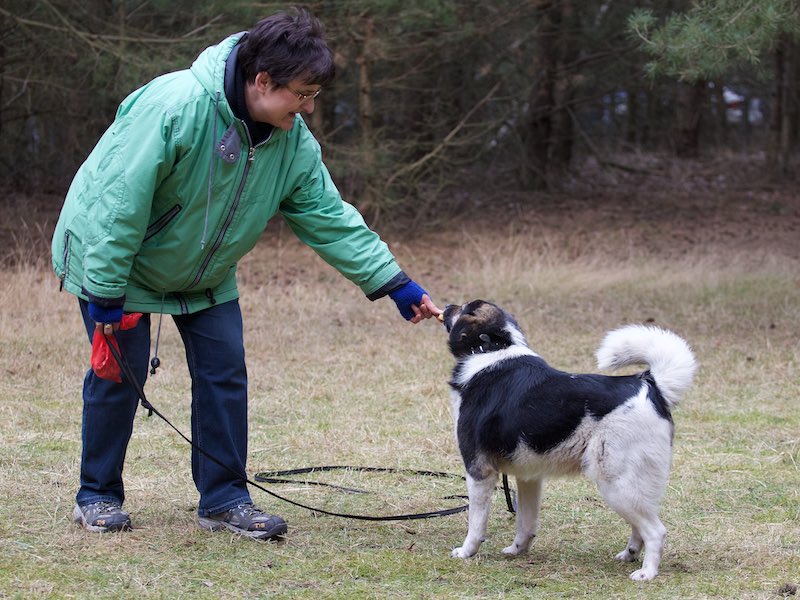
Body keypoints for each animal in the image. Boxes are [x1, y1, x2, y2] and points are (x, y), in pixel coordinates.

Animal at [441, 300, 697, 581]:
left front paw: (466, 552)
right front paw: (517, 550)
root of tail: (652, 385)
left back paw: (647, 573)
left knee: (656, 531)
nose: (447, 305)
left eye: (463, 308)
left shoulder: (479, 471)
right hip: (628, 484)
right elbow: (526, 522)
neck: (492, 348)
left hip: (616, 483)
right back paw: (629, 555)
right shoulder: (528, 476)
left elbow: (476, 523)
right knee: (640, 526)